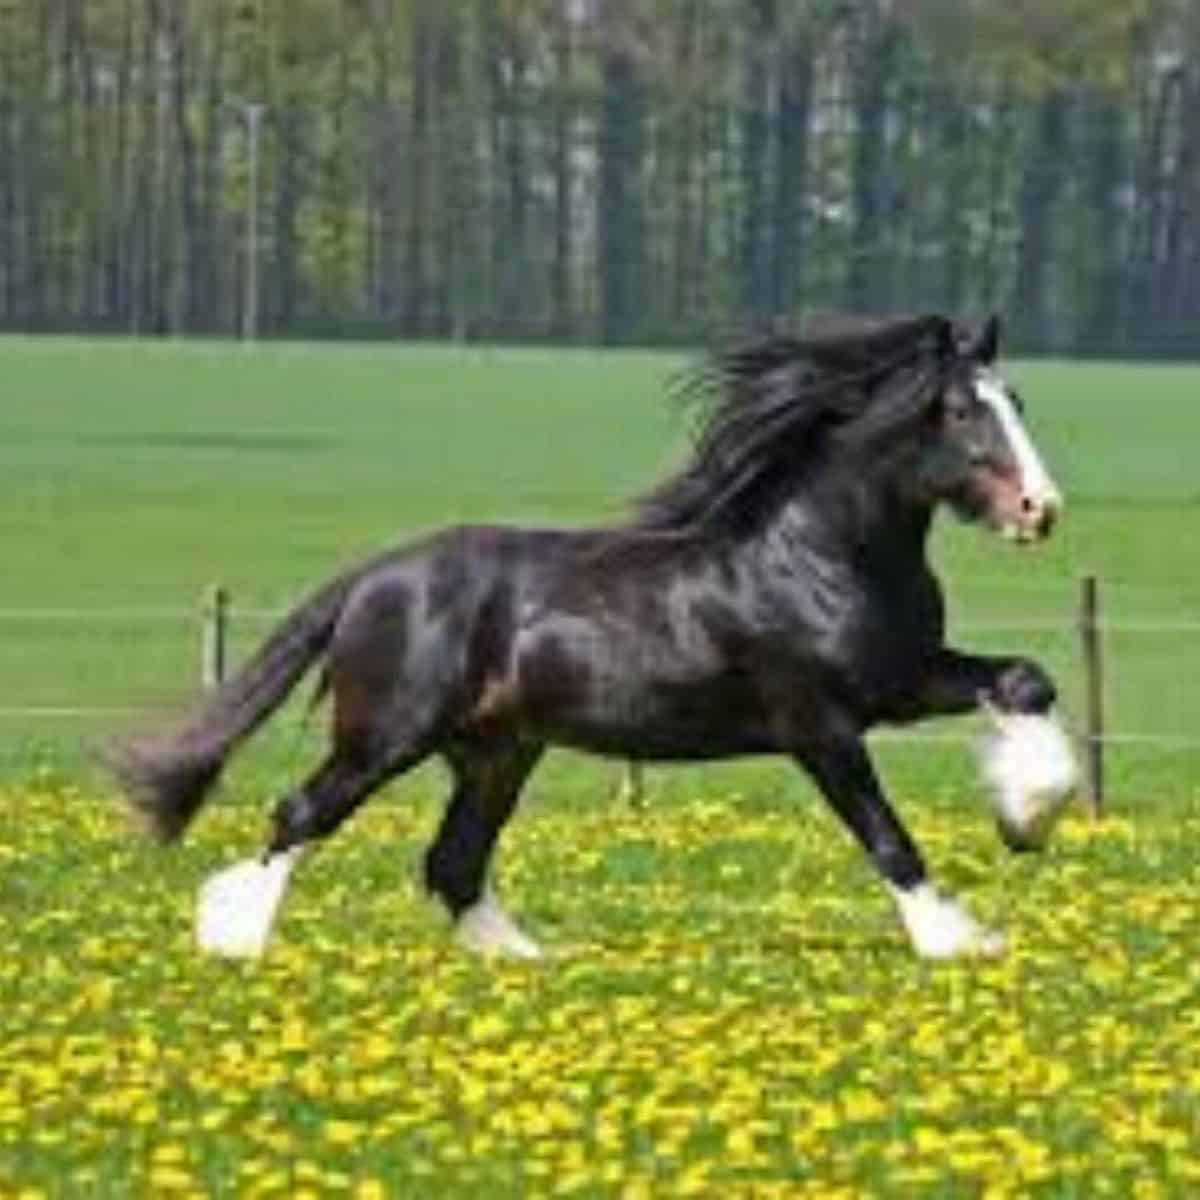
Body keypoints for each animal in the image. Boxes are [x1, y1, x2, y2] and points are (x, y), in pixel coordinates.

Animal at [112, 314, 1075, 960]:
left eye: (1018, 401)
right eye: (958, 411)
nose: (1041, 509)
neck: (819, 555)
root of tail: (375, 577)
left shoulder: (903, 681)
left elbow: (1026, 681)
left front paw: (1025, 820)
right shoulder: (819, 723)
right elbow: (882, 830)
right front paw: (954, 936)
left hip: (497, 750)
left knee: (453, 860)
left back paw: (527, 960)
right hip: (388, 735)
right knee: (302, 814)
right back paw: (234, 937)